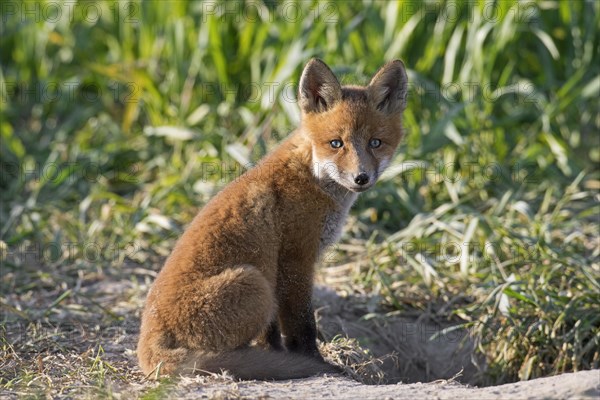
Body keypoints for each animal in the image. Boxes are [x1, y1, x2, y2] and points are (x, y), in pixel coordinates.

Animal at [137, 57, 408, 380]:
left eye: (375, 143)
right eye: (336, 143)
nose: (361, 178)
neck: (311, 173)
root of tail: (147, 348)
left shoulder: (282, 268)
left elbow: (273, 334)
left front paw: (280, 355)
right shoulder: (296, 259)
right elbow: (302, 326)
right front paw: (313, 362)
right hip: (255, 282)